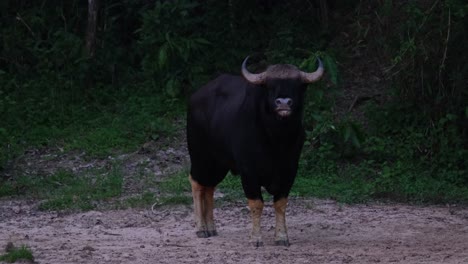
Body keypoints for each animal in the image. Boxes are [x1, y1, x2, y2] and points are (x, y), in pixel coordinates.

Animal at [185, 56, 324, 248]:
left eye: (297, 85)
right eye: (270, 86)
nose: (283, 103)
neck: (276, 140)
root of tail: (195, 98)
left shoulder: (290, 170)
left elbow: (281, 203)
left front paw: (281, 237)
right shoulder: (249, 171)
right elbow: (257, 204)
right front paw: (256, 238)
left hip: (219, 163)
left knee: (210, 187)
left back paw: (211, 227)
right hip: (200, 156)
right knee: (197, 183)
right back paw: (201, 228)